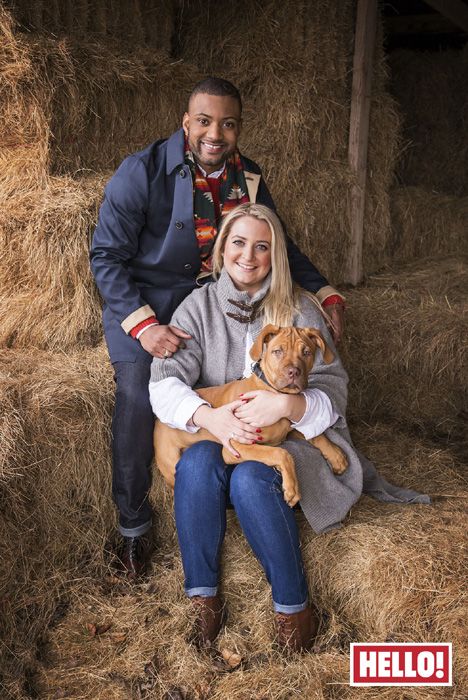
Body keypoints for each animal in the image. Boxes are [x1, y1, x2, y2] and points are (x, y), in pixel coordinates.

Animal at [154, 326, 348, 506]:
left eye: (306, 352)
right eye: (278, 351)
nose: (293, 372)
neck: (273, 392)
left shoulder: (287, 430)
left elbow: (316, 435)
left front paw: (336, 455)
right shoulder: (235, 446)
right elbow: (281, 453)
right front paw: (292, 488)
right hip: (171, 464)